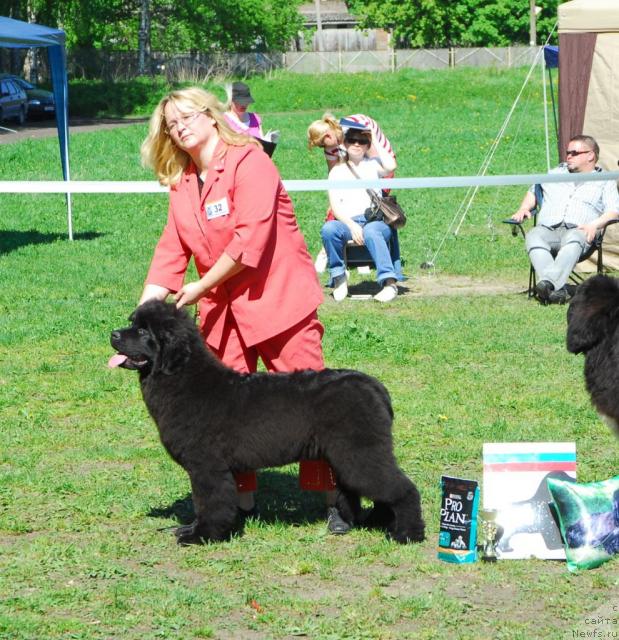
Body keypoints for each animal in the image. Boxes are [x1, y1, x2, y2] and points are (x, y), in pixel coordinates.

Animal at [109, 302, 426, 544]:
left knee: (402, 489)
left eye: (142, 331)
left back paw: (406, 534)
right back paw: (379, 522)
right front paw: (190, 529)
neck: (183, 378)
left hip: (359, 453)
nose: (113, 334)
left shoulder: (207, 466)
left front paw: (201, 536)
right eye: (131, 322)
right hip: (352, 454)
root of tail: (374, 385)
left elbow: (209, 503)